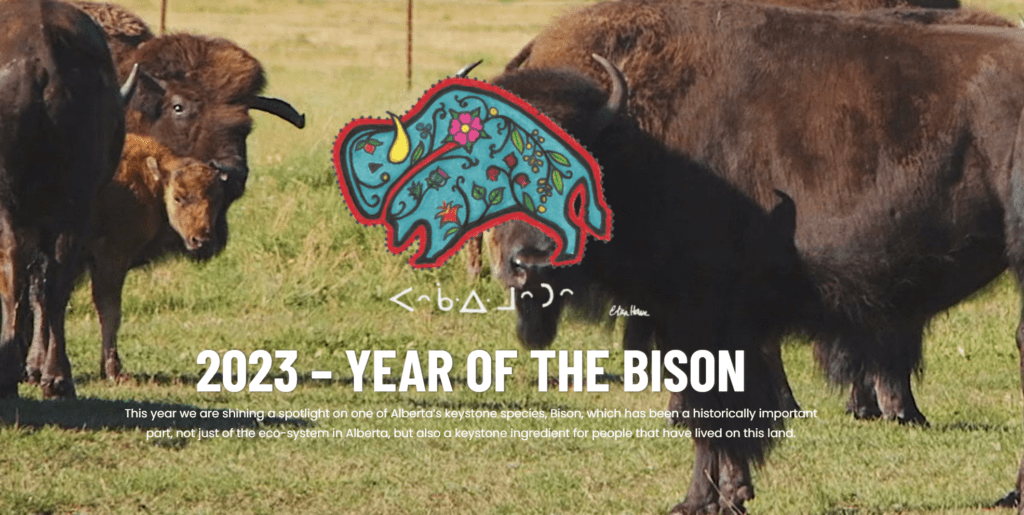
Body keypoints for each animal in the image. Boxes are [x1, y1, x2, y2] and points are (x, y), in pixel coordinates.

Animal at [0, 0, 128, 399]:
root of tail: (43, 53)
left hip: (15, 200)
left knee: (14, 269)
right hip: (76, 200)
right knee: (54, 278)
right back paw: (56, 377)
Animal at [88, 135, 226, 380]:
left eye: (217, 198)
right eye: (178, 197)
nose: (201, 240)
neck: (149, 181)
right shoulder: (111, 258)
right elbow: (111, 312)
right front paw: (114, 371)